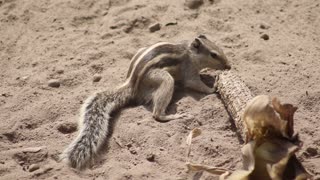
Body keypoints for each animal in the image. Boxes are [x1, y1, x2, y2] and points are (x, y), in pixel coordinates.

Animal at [60, 34, 230, 169]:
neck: (189, 51)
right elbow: (195, 84)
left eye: (220, 48)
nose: (229, 66)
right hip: (164, 79)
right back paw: (174, 116)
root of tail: (132, 84)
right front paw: (213, 87)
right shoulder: (189, 71)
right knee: (157, 114)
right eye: (213, 54)